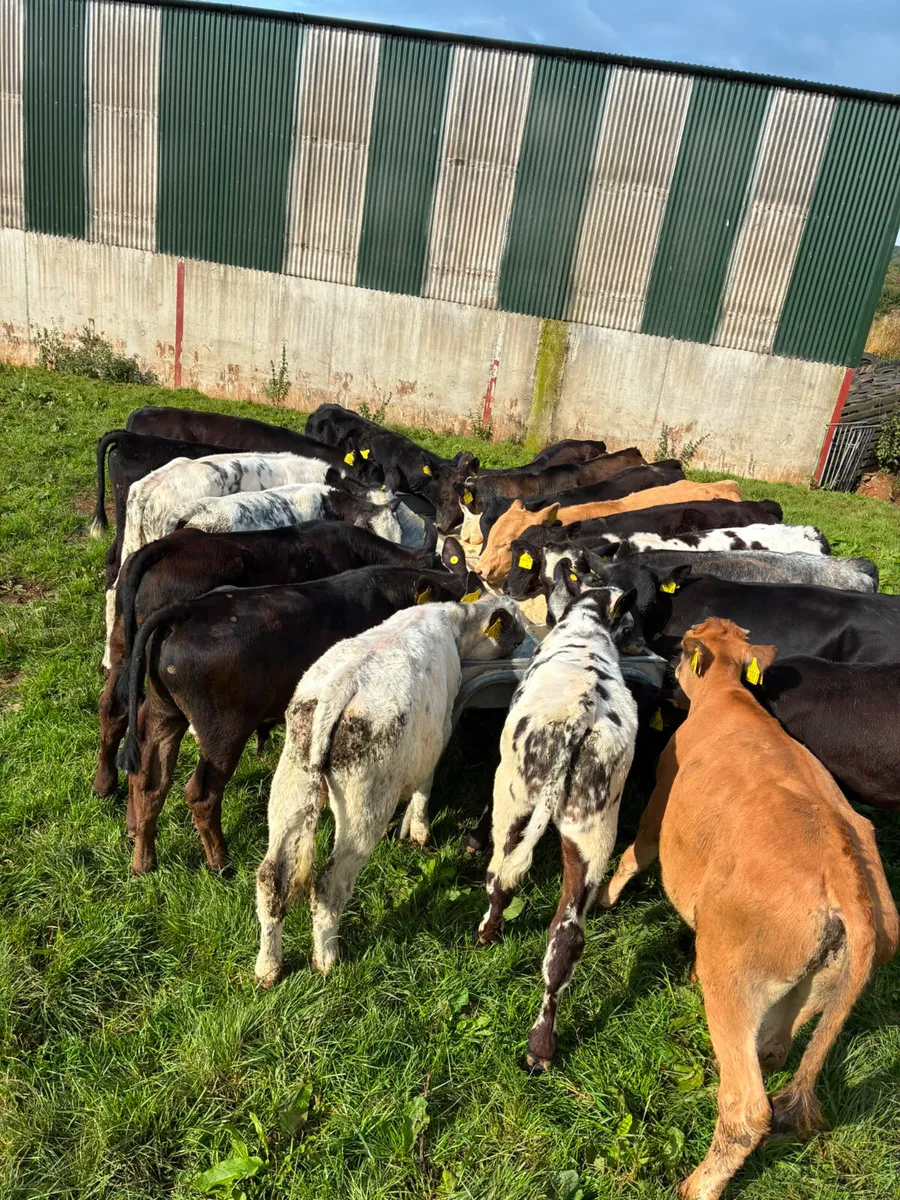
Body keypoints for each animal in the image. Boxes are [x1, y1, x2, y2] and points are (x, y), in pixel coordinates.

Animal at [116, 553, 485, 875]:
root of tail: (186, 610)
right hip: (223, 730)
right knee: (201, 793)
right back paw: (220, 863)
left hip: (164, 712)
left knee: (149, 778)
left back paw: (142, 861)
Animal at [253, 597, 526, 984]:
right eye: (514, 625)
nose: (525, 639)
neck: (454, 622)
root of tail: (340, 687)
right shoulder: (438, 732)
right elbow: (425, 787)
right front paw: (419, 831)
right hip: (364, 806)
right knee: (328, 886)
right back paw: (327, 959)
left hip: (291, 784)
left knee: (271, 878)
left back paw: (268, 967)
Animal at [476, 566, 639, 1070]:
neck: (585, 626)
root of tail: (579, 718)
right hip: (594, 832)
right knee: (566, 938)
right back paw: (541, 1046)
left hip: (511, 795)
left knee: (499, 875)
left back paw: (488, 932)